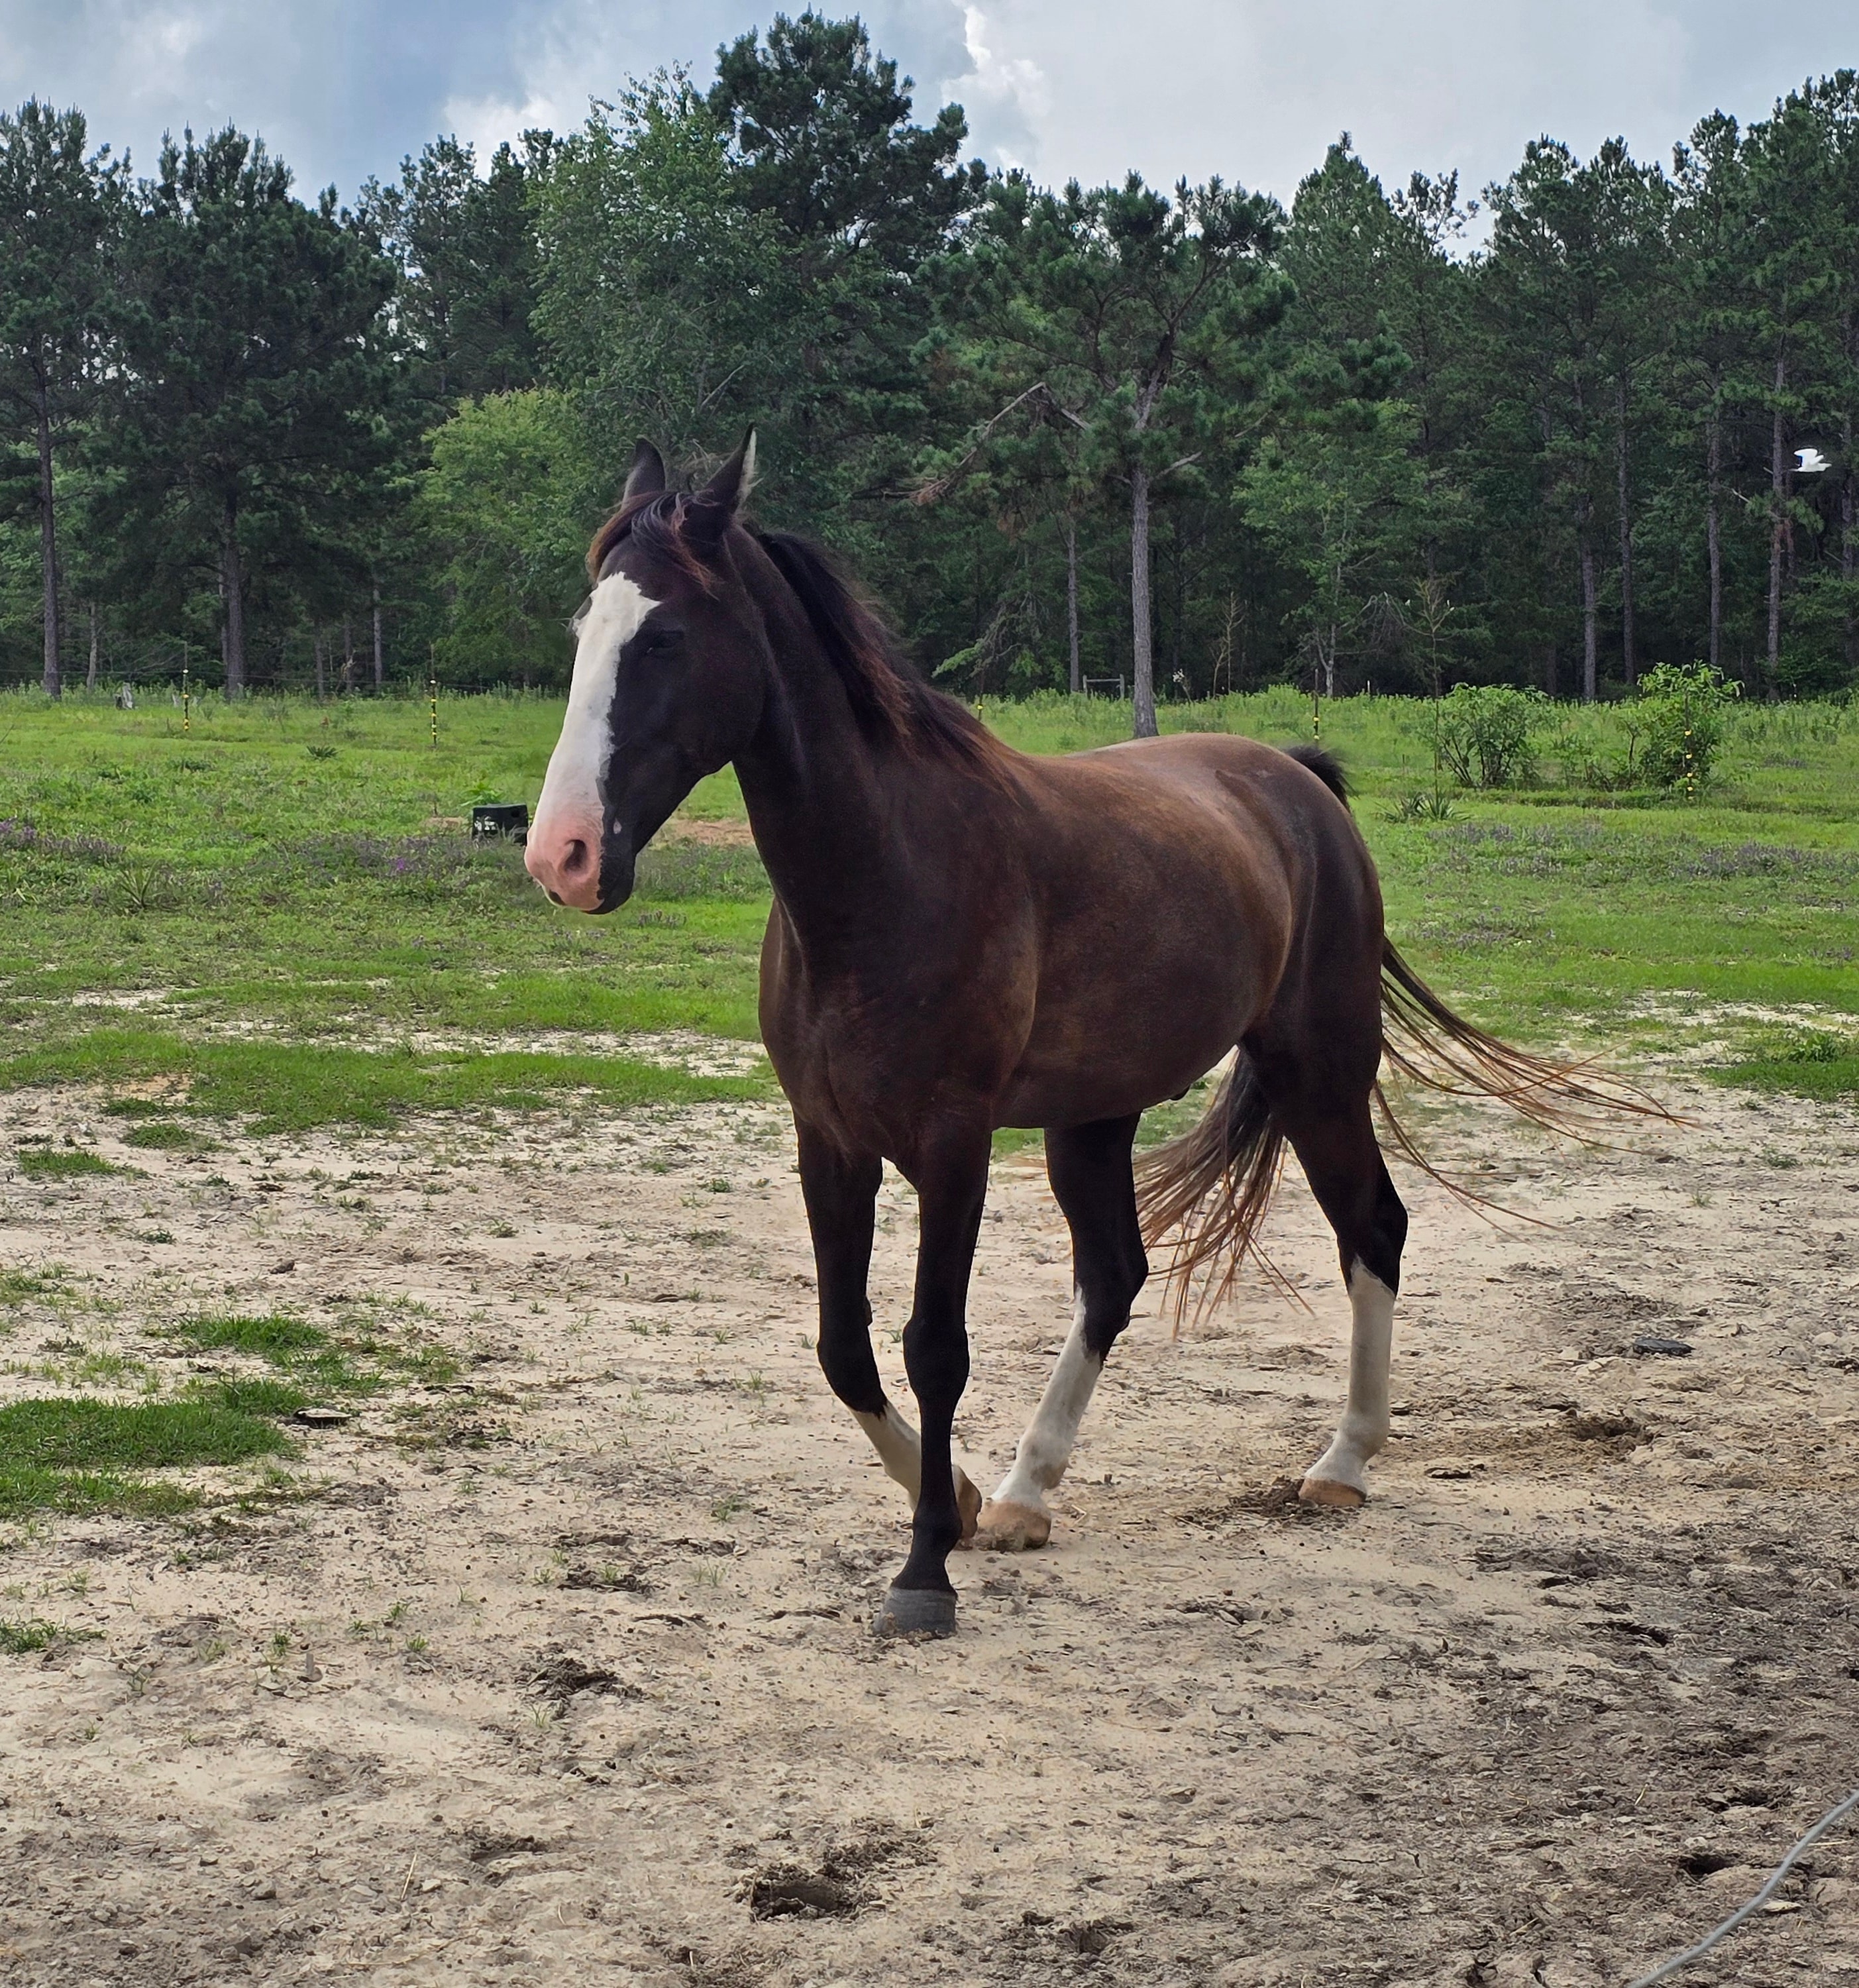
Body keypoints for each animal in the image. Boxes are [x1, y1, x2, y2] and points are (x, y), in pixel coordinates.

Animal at [524, 434, 1645, 1637]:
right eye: (581, 632)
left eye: (666, 636)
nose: (564, 856)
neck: (885, 873)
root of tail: (1298, 783)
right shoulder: (829, 1139)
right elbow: (843, 1348)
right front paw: (964, 1499)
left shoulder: (952, 1146)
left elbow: (933, 1346)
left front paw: (926, 1569)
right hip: (1096, 1117)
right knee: (1114, 1275)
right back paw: (1027, 1491)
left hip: (1318, 1075)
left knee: (1371, 1229)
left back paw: (1340, 1464)